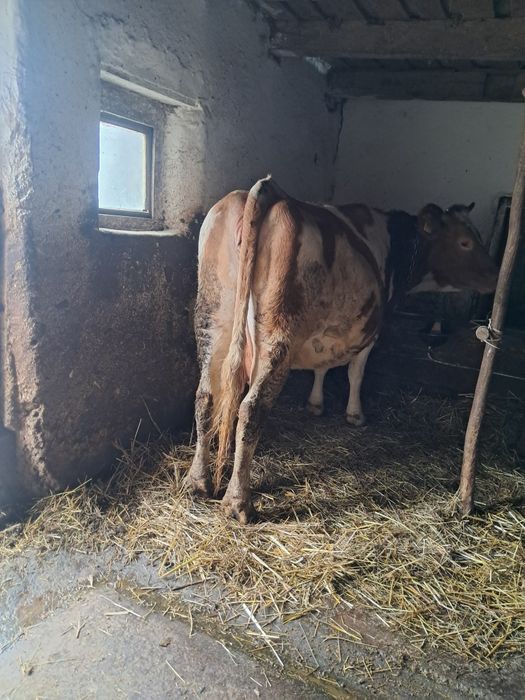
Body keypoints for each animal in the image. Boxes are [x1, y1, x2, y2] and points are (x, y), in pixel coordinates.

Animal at [187, 176, 499, 523]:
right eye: (465, 242)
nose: (496, 273)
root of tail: (267, 191)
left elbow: (323, 365)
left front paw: (316, 403)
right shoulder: (372, 328)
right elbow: (355, 373)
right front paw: (354, 414)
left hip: (213, 320)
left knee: (205, 396)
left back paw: (197, 482)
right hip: (277, 335)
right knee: (251, 409)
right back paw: (238, 503)